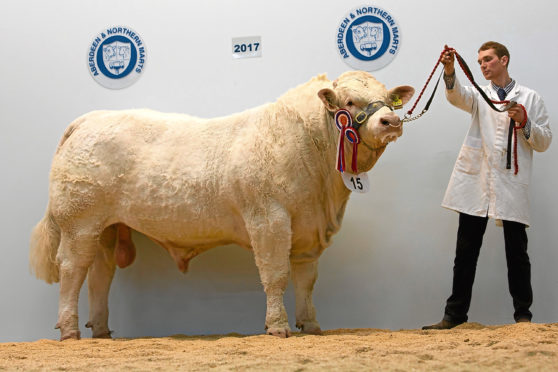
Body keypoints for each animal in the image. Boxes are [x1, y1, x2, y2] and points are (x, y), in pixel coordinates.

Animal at [30, 70, 416, 340]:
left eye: (388, 99)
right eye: (348, 102)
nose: (391, 121)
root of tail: (89, 119)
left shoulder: (308, 228)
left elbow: (306, 280)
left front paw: (311, 325)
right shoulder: (269, 218)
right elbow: (275, 274)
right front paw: (277, 327)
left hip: (107, 228)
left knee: (100, 275)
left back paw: (101, 332)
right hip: (79, 222)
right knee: (72, 270)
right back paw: (70, 331)